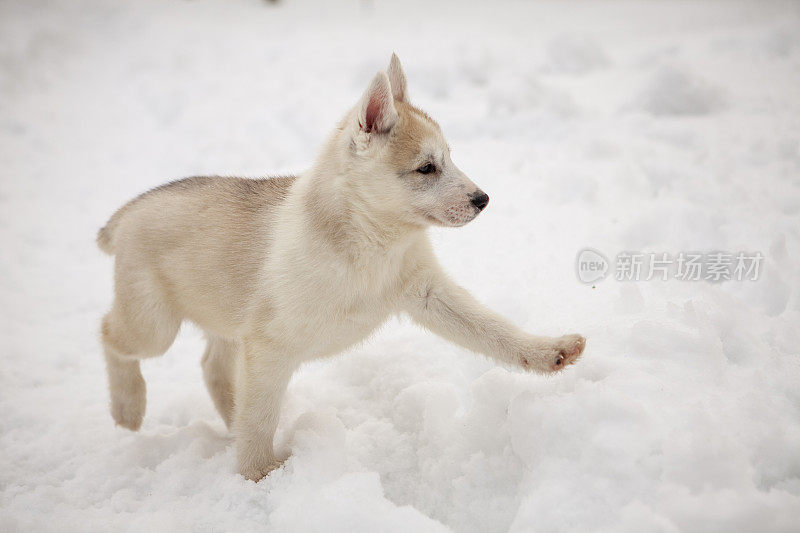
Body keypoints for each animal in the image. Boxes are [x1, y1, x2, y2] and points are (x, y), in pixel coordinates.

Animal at [98, 55, 588, 482]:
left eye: (450, 159)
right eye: (426, 168)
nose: (483, 199)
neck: (370, 244)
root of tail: (129, 210)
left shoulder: (429, 293)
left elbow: (494, 330)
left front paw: (551, 352)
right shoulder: (269, 345)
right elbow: (261, 417)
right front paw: (259, 475)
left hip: (224, 324)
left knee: (212, 367)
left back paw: (223, 421)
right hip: (155, 327)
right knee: (109, 333)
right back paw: (128, 410)